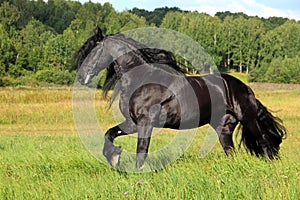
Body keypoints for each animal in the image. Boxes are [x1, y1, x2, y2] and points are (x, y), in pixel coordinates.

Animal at [72, 27, 286, 170]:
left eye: (93, 51)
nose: (81, 77)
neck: (142, 80)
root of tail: (246, 88)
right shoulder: (133, 122)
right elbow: (109, 134)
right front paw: (114, 158)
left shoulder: (145, 123)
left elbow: (142, 150)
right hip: (223, 127)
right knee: (231, 151)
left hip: (248, 119)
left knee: (264, 142)